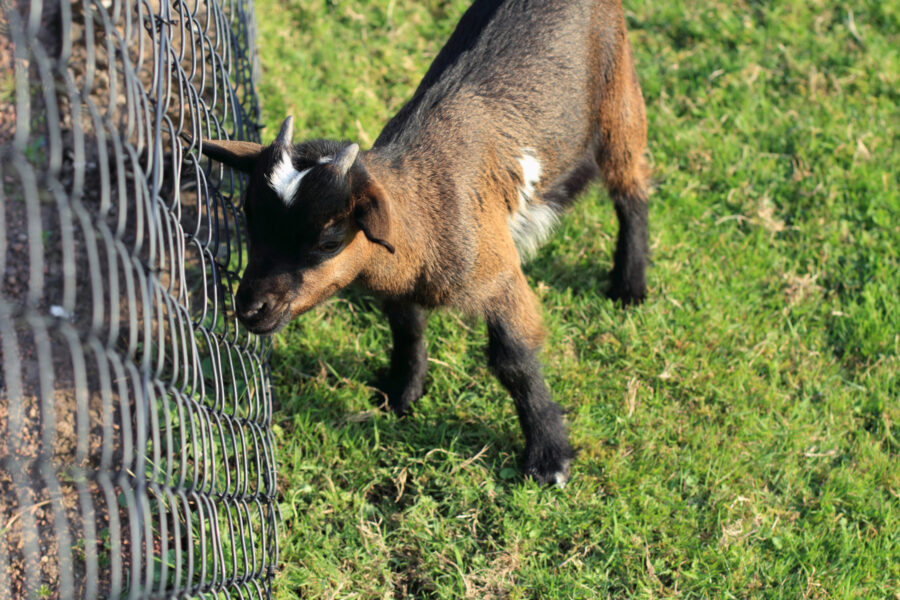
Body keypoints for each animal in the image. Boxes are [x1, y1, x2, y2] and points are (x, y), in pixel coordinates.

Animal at [197, 0, 650, 486]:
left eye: (329, 240)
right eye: (249, 219)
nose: (250, 309)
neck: (426, 209)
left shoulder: (498, 274)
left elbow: (514, 361)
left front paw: (548, 458)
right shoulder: (400, 283)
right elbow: (407, 329)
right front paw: (401, 393)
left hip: (620, 94)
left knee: (632, 187)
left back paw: (630, 287)